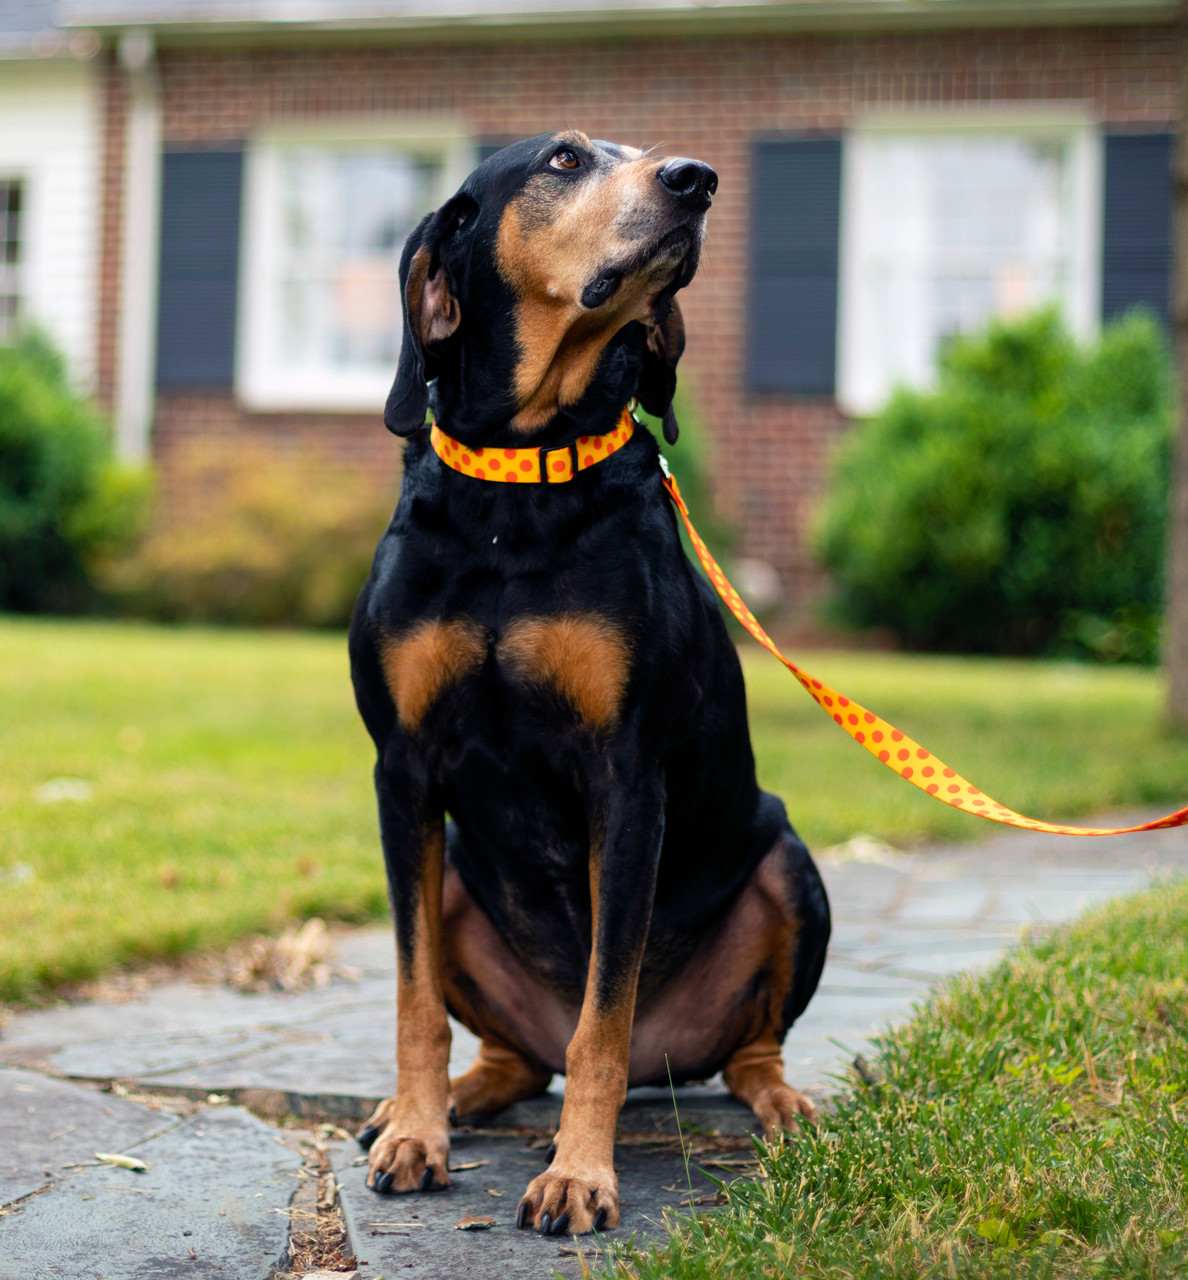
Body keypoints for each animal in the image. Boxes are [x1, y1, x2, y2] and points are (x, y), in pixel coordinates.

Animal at [348, 127, 829, 1228]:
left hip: (788, 865)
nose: (698, 181)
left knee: (740, 1048)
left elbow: (602, 1019)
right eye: (564, 159)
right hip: (452, 880)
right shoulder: (403, 772)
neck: (515, 491)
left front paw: (578, 1174)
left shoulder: (626, 774)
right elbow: (412, 998)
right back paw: (447, 1096)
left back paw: (781, 1100)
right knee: (512, 1051)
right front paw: (415, 1132)